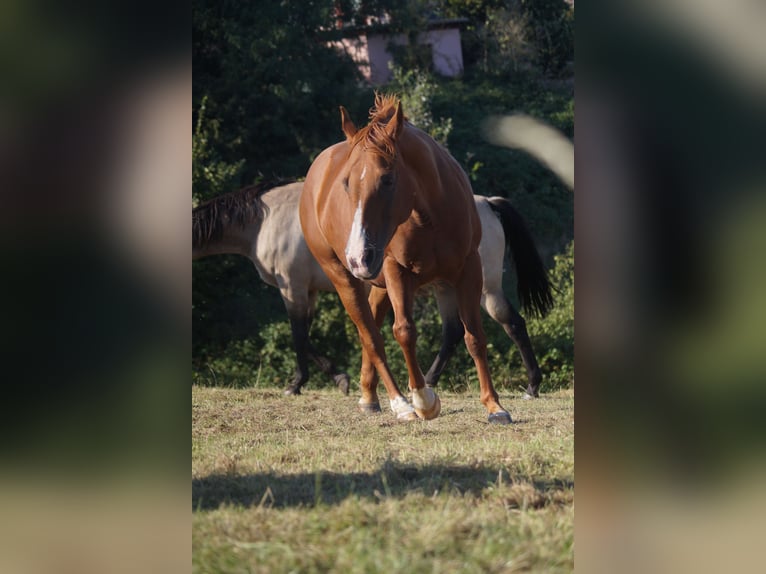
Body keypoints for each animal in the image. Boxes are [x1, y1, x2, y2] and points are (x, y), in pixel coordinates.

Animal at [192, 182, 552, 402]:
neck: (268, 218)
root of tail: (488, 204)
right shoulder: (308, 291)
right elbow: (306, 336)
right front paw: (337, 378)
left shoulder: (292, 288)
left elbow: (298, 336)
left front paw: (302, 382)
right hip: (444, 287)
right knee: (452, 333)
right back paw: (429, 381)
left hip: (483, 288)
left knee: (512, 323)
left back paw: (532, 385)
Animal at [300, 94, 552, 426]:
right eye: (346, 183)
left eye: (387, 179)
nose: (357, 255)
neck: (428, 215)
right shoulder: (396, 272)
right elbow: (404, 331)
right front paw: (423, 399)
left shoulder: (468, 271)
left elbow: (474, 336)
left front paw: (494, 406)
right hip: (345, 278)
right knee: (371, 336)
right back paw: (401, 402)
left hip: (401, 282)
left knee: (380, 327)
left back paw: (371, 395)